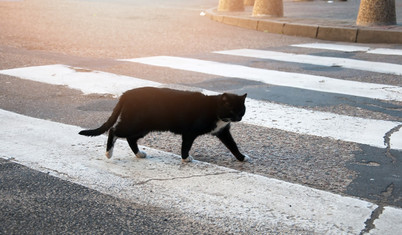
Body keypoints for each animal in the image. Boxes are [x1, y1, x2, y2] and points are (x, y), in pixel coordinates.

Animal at [78, 87, 248, 162]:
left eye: (242, 110)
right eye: (232, 110)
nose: (238, 118)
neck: (215, 109)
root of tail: (127, 93)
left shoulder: (223, 131)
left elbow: (232, 145)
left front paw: (241, 157)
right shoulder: (190, 132)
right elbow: (186, 145)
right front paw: (186, 158)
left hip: (143, 127)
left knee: (130, 139)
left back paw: (139, 154)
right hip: (134, 123)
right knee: (114, 131)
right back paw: (109, 153)